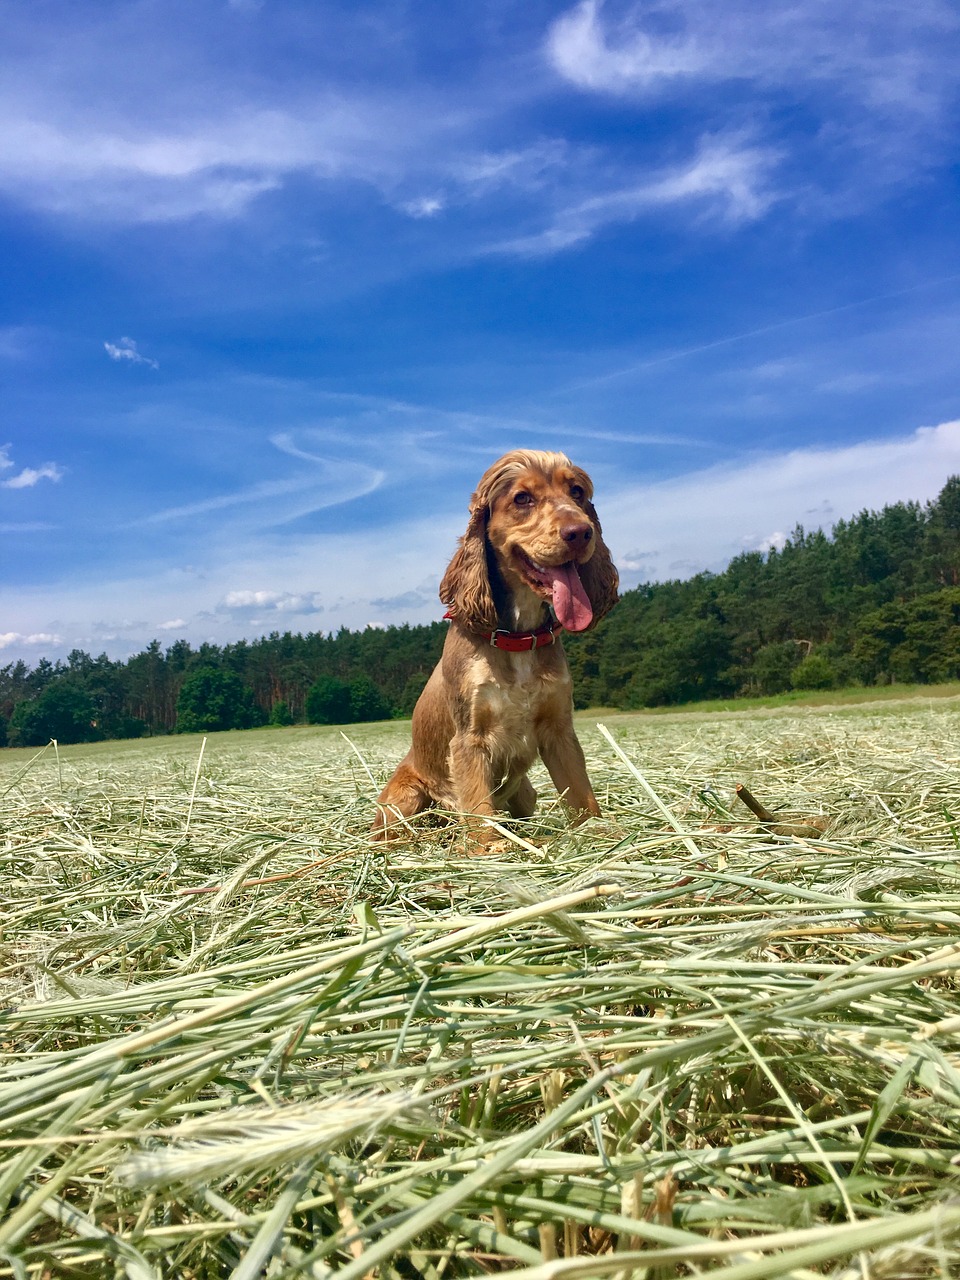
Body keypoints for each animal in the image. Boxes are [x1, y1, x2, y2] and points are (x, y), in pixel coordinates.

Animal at [371, 445, 619, 844]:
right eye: (522, 498)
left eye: (577, 491)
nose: (581, 532)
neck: (516, 639)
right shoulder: (469, 739)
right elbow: (478, 804)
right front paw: (490, 848)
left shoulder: (559, 728)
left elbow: (579, 790)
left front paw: (598, 832)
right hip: (402, 798)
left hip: (525, 792)